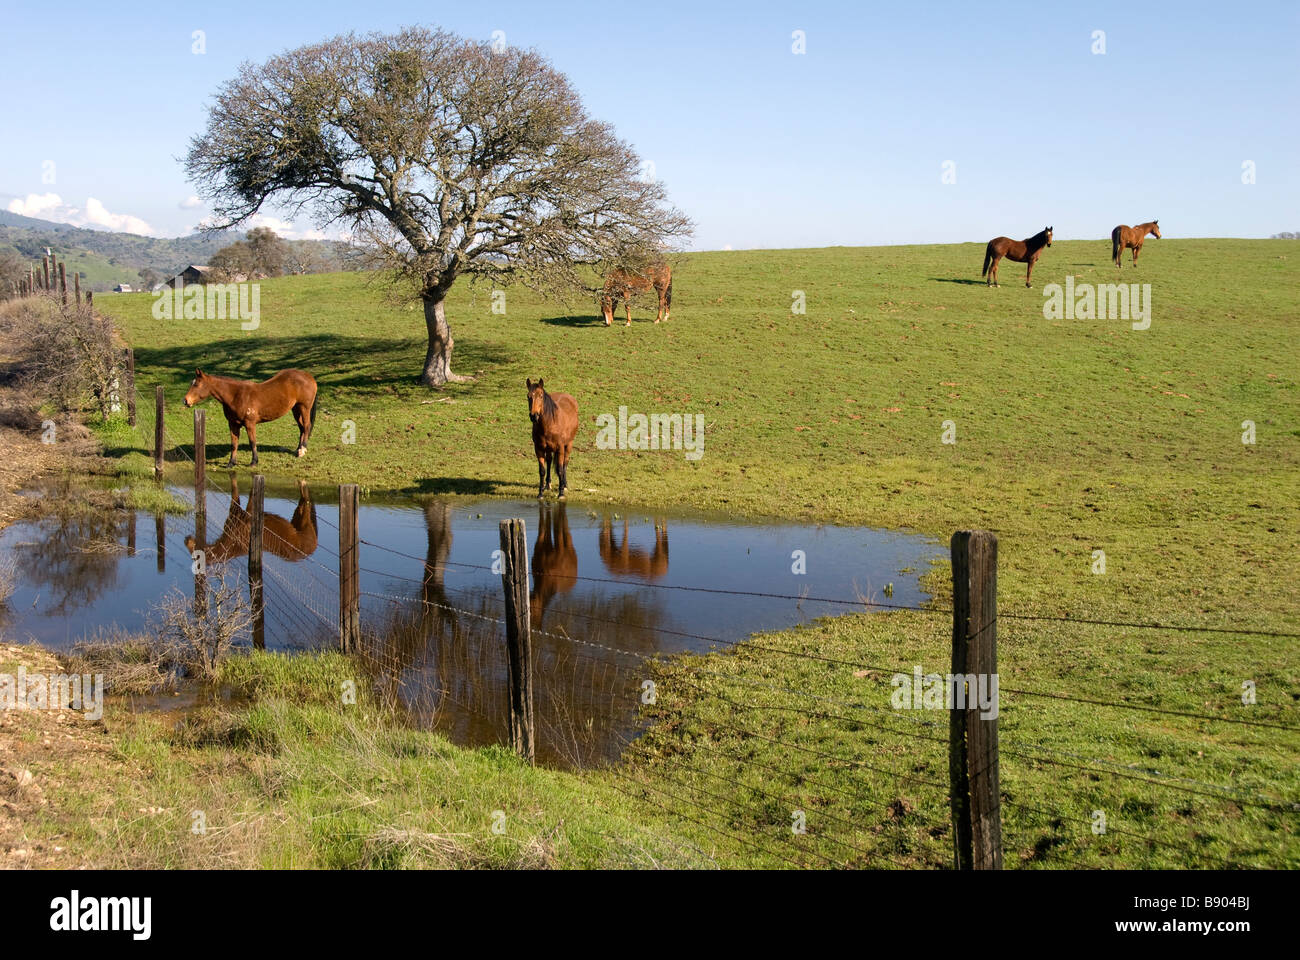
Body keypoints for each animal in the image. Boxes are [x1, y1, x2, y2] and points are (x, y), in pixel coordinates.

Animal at [184, 364, 318, 465]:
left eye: (196, 384)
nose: (185, 400)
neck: (236, 395)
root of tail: (309, 376)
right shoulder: (233, 424)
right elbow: (234, 444)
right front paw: (231, 463)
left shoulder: (250, 424)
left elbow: (252, 442)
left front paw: (254, 461)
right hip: (295, 409)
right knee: (301, 428)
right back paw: (298, 449)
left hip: (304, 408)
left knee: (306, 426)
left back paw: (302, 450)